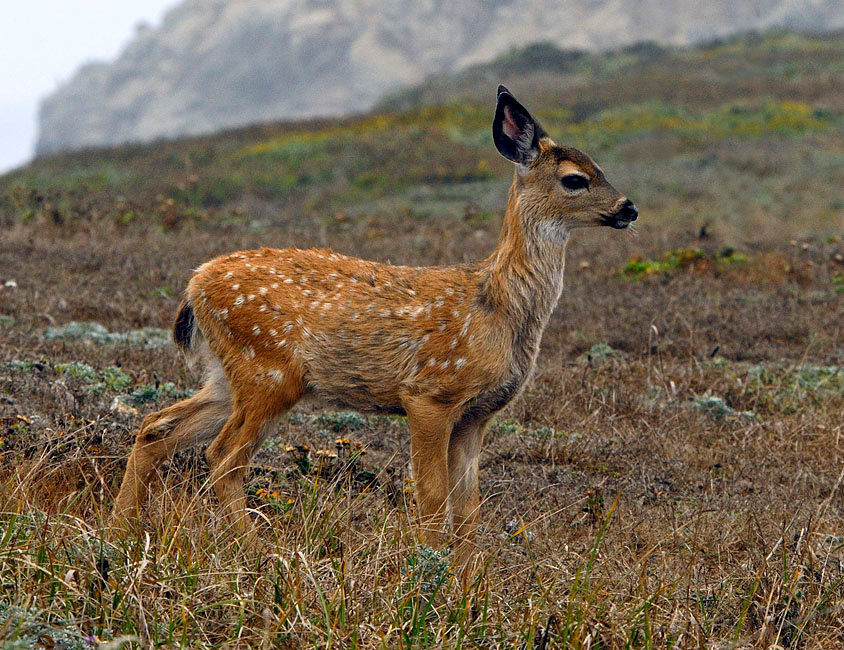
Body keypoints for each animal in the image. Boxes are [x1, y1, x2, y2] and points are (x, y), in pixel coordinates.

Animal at [112, 86, 638, 565]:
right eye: (575, 179)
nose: (628, 208)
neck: (498, 308)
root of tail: (195, 284)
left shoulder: (478, 414)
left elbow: (468, 508)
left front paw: (469, 588)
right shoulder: (430, 393)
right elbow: (432, 498)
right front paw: (430, 573)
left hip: (229, 375)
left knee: (156, 427)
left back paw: (118, 533)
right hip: (269, 369)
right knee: (221, 457)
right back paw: (259, 554)